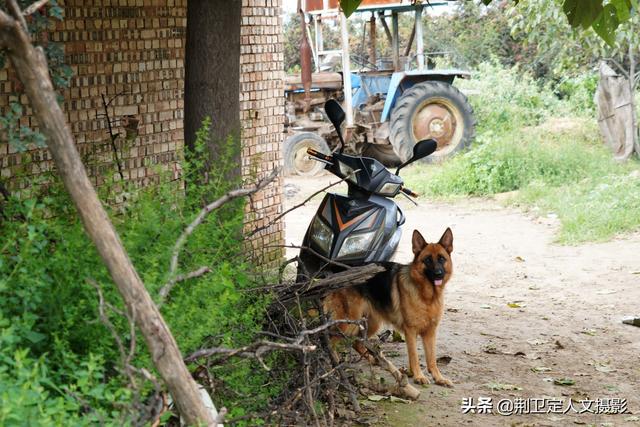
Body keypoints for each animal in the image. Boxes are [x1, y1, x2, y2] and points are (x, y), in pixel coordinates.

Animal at [324, 231, 456, 388]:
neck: (427, 296)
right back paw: (333, 368)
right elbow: (414, 356)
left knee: (357, 342)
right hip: (348, 324)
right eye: (428, 260)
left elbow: (432, 359)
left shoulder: (430, 332)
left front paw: (438, 378)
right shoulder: (410, 331)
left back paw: (373, 360)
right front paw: (418, 376)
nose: (438, 273)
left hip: (371, 324)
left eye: (441, 259)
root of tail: (336, 275)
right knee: (328, 342)